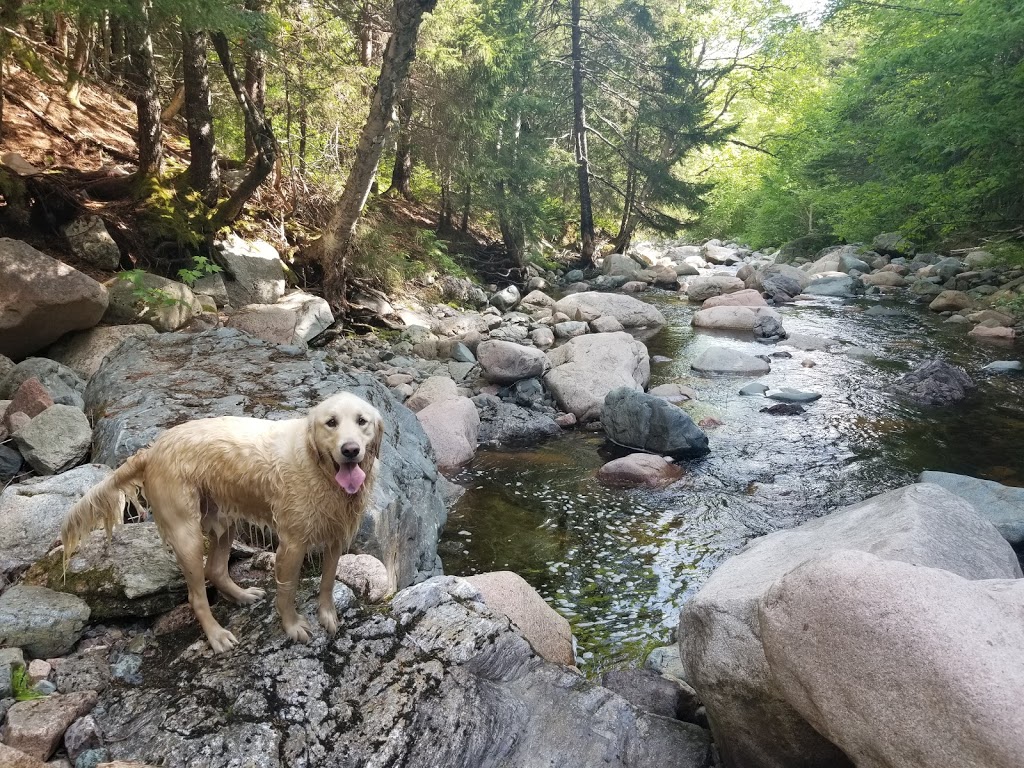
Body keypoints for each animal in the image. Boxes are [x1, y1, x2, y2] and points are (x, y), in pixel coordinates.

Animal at [60, 393, 387, 651]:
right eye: (331, 422)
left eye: (362, 421)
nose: (350, 450)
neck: (318, 467)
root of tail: (153, 450)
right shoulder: (292, 544)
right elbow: (287, 591)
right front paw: (293, 626)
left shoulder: (337, 534)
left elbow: (329, 580)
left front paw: (327, 615)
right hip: (187, 534)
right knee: (196, 595)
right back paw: (217, 636)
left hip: (223, 520)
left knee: (215, 569)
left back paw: (242, 595)